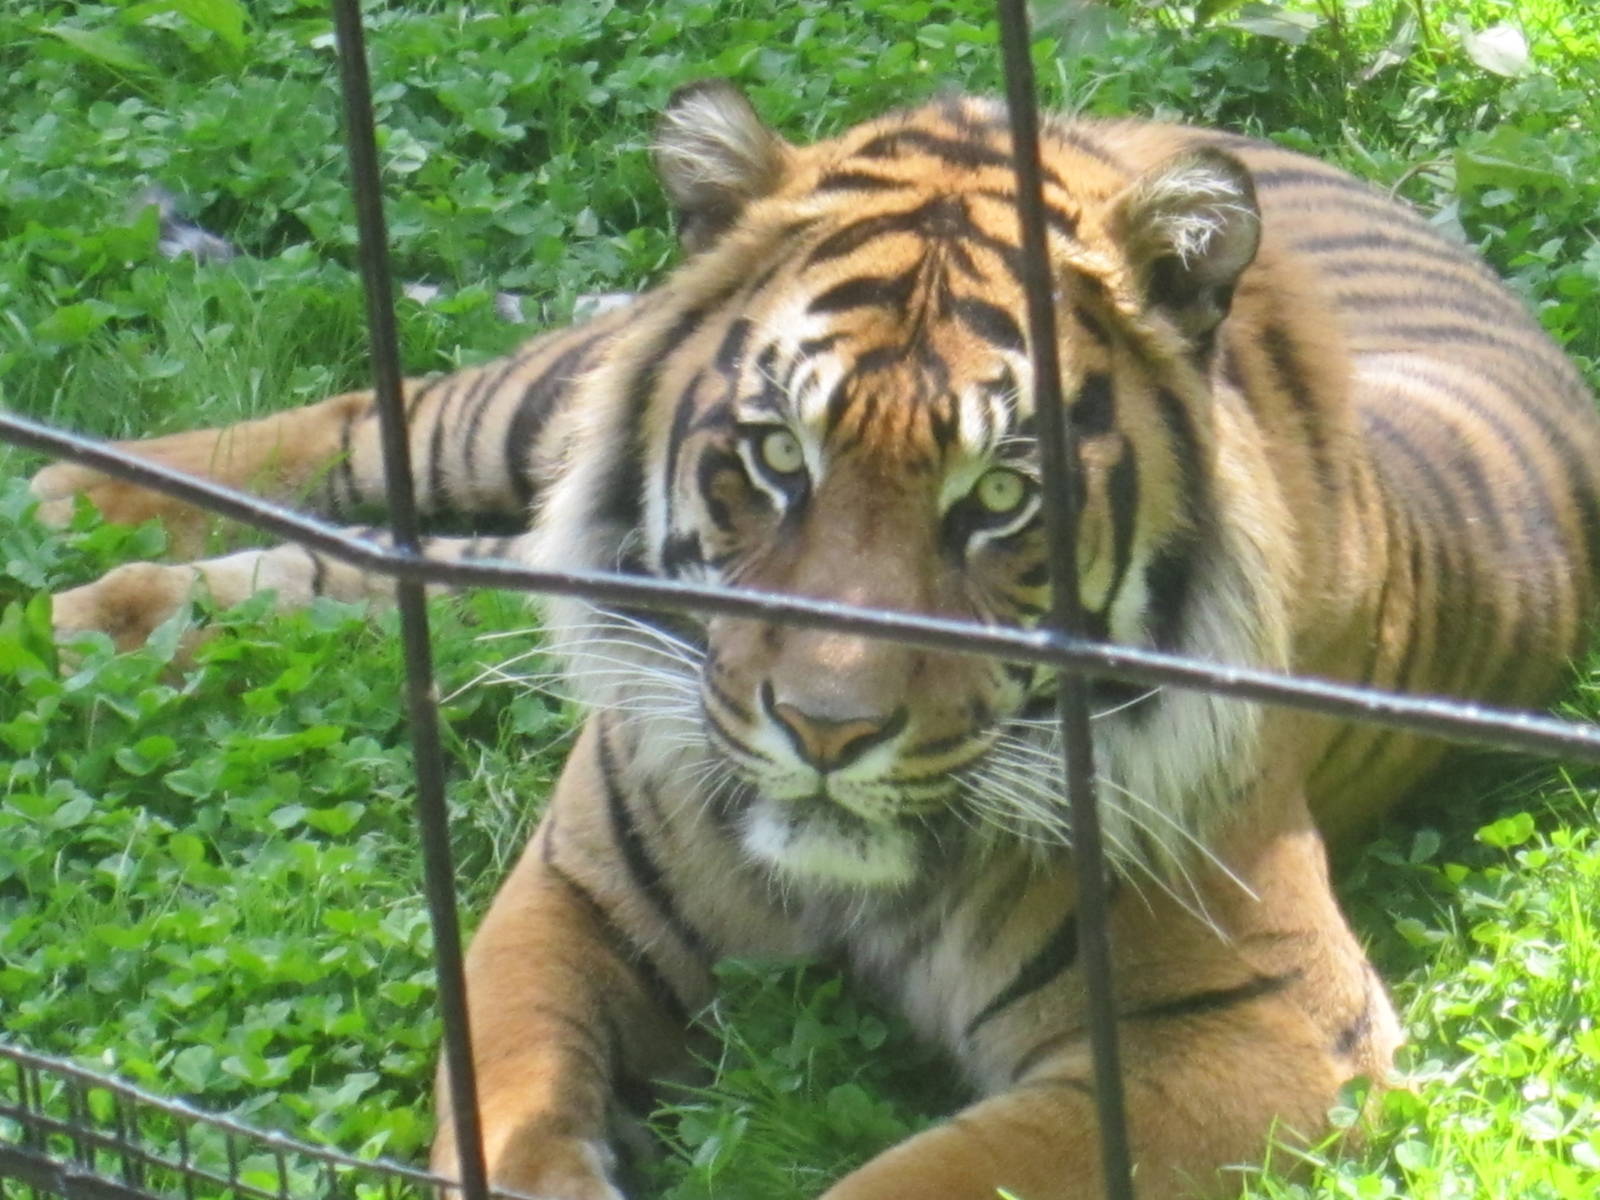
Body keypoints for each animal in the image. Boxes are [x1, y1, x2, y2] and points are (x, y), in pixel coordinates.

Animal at [28, 80, 1600, 1199]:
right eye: (776, 457)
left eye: (1000, 498)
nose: (828, 731)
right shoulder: (570, 888)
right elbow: (507, 1101)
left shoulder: (1256, 1024)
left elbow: (909, 1184)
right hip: (531, 399)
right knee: (379, 419)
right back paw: (74, 515)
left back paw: (110, 609)